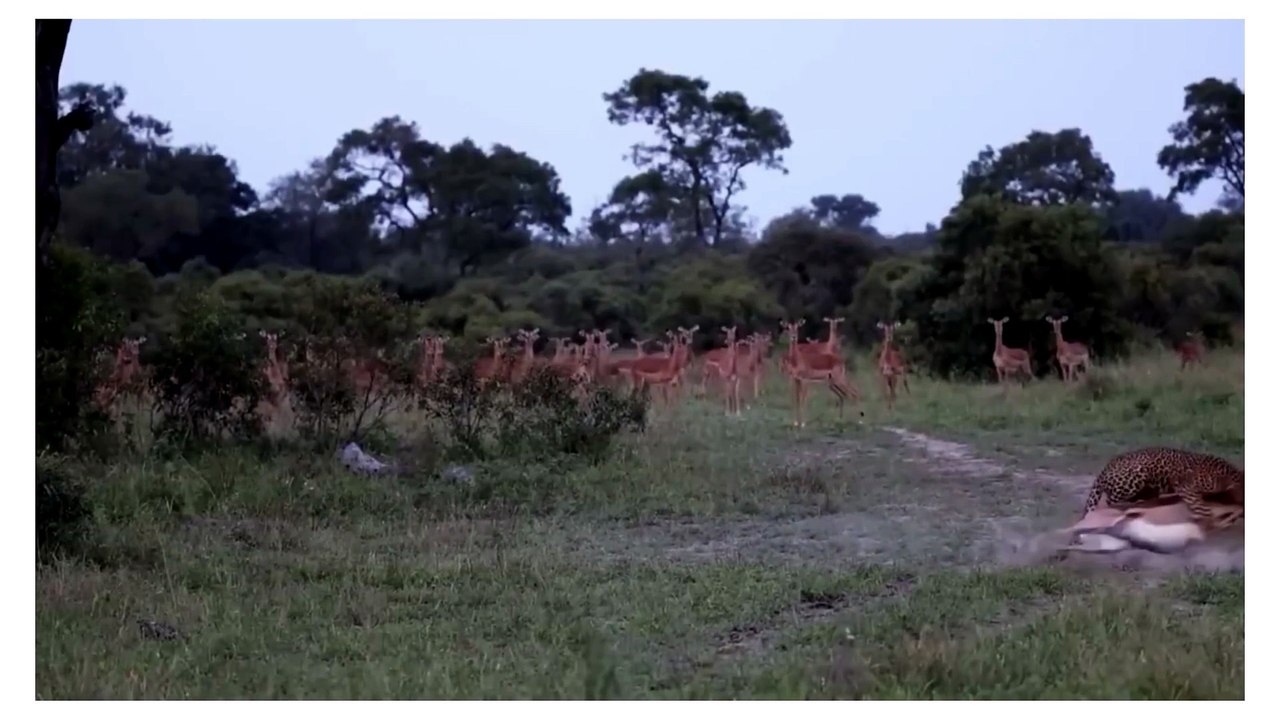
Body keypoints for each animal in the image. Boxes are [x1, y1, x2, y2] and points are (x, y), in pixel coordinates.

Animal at [1081, 447, 1243, 529]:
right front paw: (1212, 521)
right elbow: (1201, 507)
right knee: (1108, 501)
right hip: (1135, 478)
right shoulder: (1186, 487)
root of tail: (1106, 467)